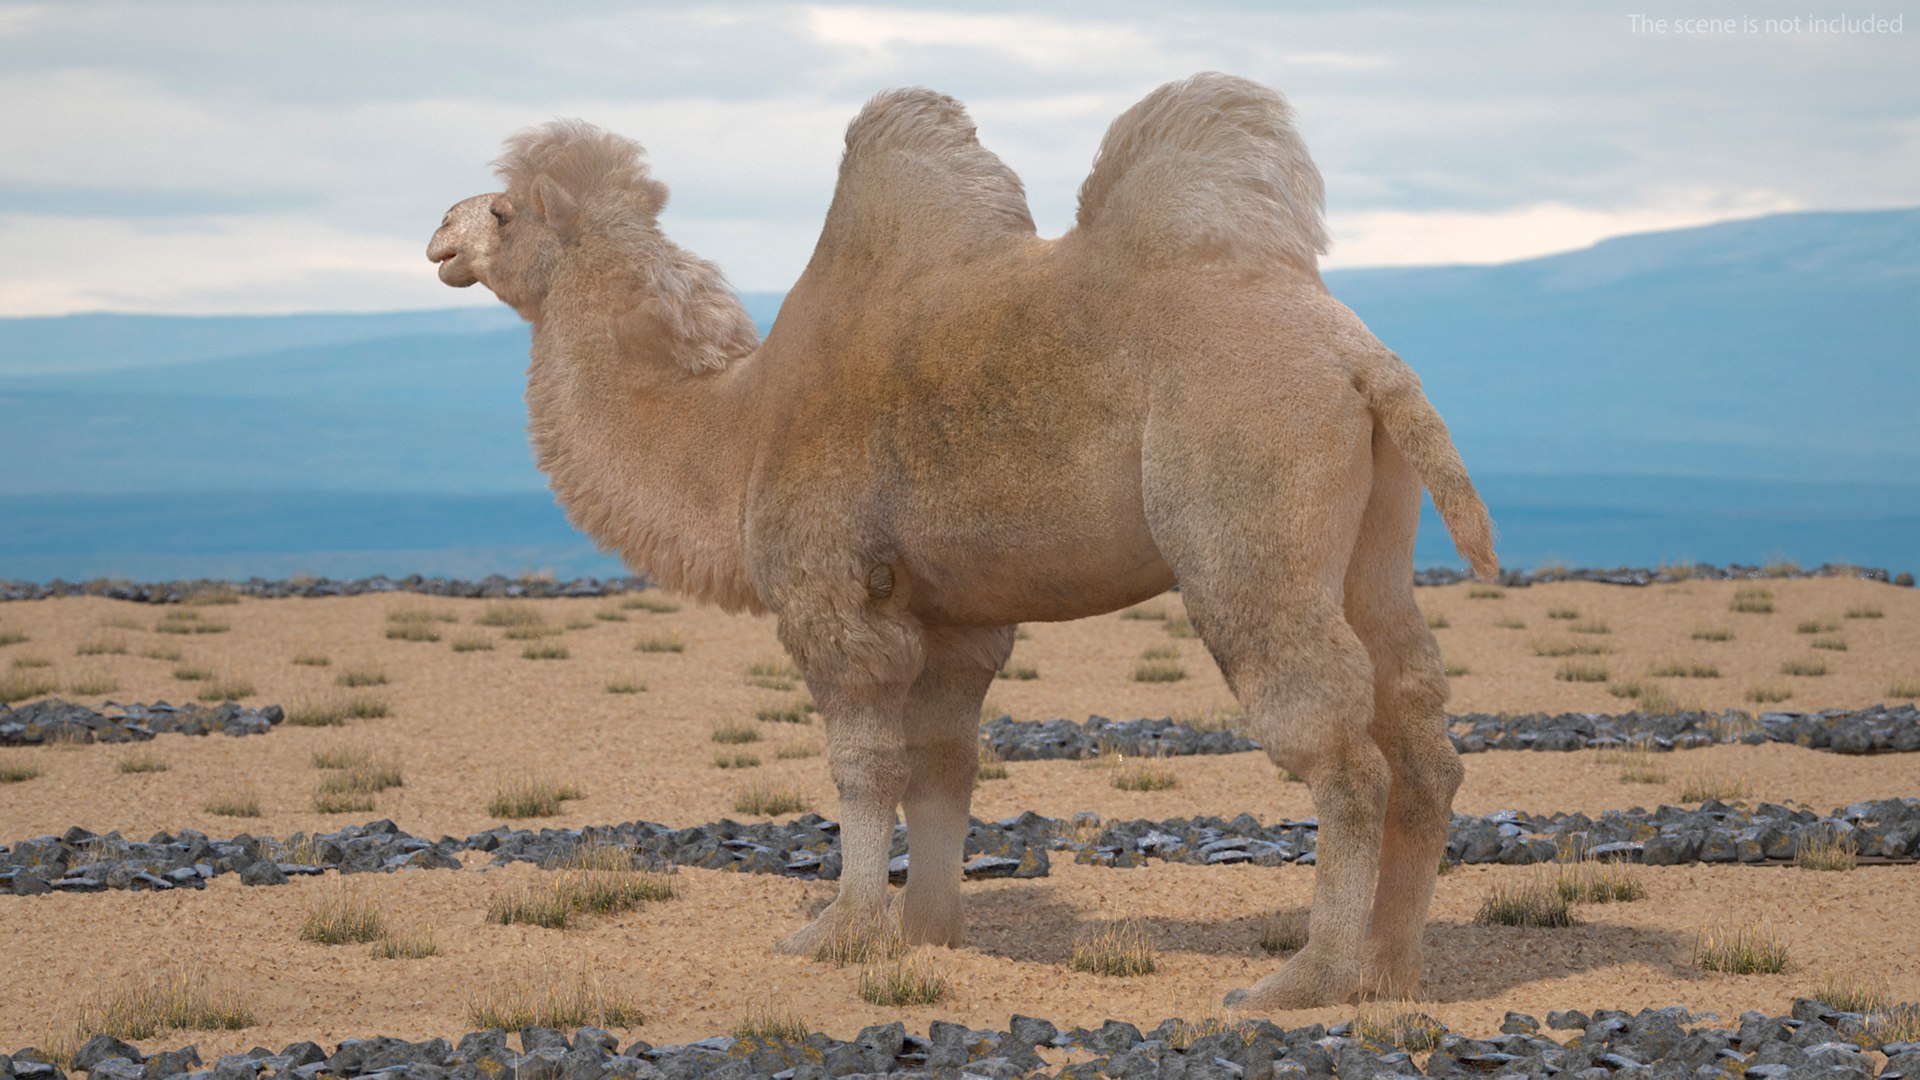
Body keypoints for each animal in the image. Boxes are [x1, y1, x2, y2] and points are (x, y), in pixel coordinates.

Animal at [427, 72, 1496, 1011]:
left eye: (506, 212)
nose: (437, 230)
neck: (740, 430)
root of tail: (1358, 357)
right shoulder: (952, 617)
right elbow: (944, 760)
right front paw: (931, 932)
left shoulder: (833, 596)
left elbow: (864, 765)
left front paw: (838, 930)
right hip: (1373, 535)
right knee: (1418, 724)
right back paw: (1388, 973)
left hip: (1247, 505)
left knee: (1341, 747)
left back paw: (1301, 983)